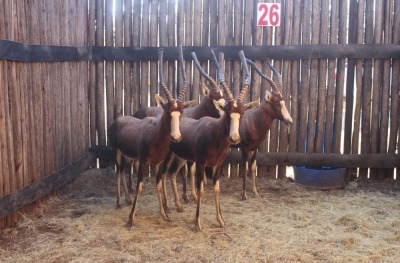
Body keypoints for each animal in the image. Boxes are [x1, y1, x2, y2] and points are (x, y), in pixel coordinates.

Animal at [107, 49, 187, 227]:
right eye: (168, 111)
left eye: (181, 112)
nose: (176, 136)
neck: (155, 134)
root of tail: (117, 121)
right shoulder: (144, 161)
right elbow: (140, 186)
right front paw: (130, 219)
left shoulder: (158, 163)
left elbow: (158, 184)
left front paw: (165, 214)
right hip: (116, 151)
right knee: (117, 172)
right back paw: (119, 203)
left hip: (128, 156)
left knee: (122, 171)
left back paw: (127, 200)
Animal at [169, 51, 253, 231]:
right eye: (227, 111)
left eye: (242, 113)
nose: (234, 137)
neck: (214, 134)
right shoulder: (201, 164)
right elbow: (201, 189)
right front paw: (197, 223)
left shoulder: (217, 165)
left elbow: (216, 189)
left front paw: (221, 220)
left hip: (180, 158)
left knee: (170, 174)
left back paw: (178, 206)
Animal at [234, 56, 294, 200]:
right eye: (276, 101)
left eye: (283, 100)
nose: (289, 120)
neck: (253, 120)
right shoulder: (244, 148)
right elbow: (245, 168)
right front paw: (244, 195)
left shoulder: (254, 148)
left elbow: (253, 168)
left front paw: (256, 193)